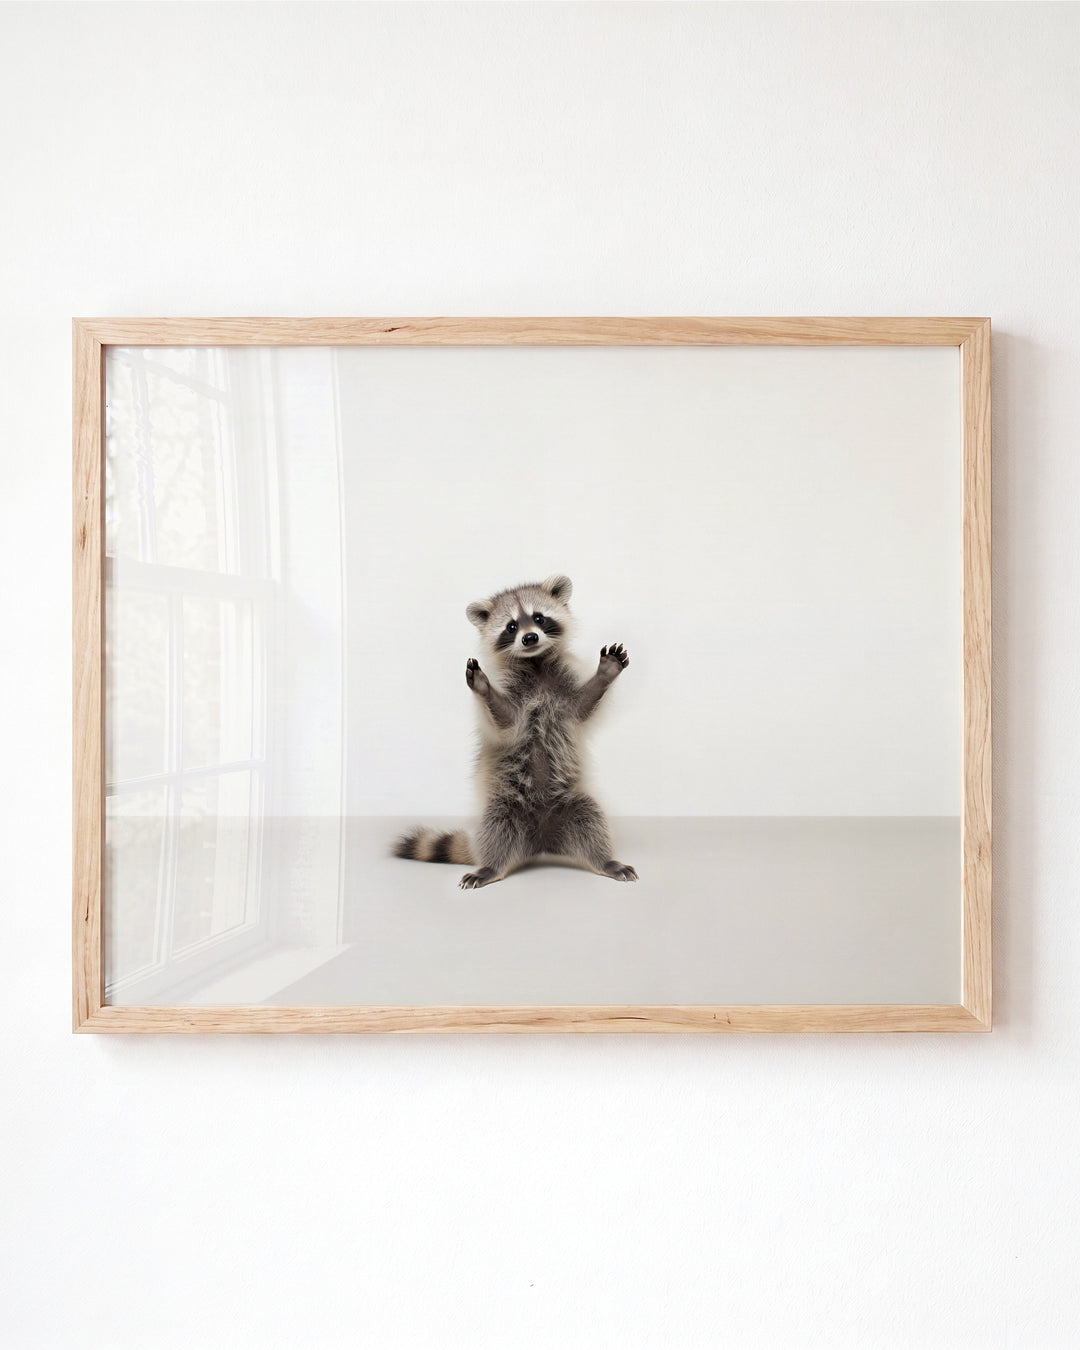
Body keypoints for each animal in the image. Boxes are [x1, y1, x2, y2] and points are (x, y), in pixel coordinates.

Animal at [393, 574, 636, 889]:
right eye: (511, 626)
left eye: (539, 618)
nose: (529, 637)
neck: (536, 663)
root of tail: (542, 842)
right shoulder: (512, 696)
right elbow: (506, 722)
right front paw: (484, 688)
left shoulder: (564, 691)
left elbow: (583, 708)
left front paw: (604, 674)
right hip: (504, 806)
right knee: (496, 828)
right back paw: (491, 866)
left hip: (572, 803)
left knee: (591, 819)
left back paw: (605, 861)